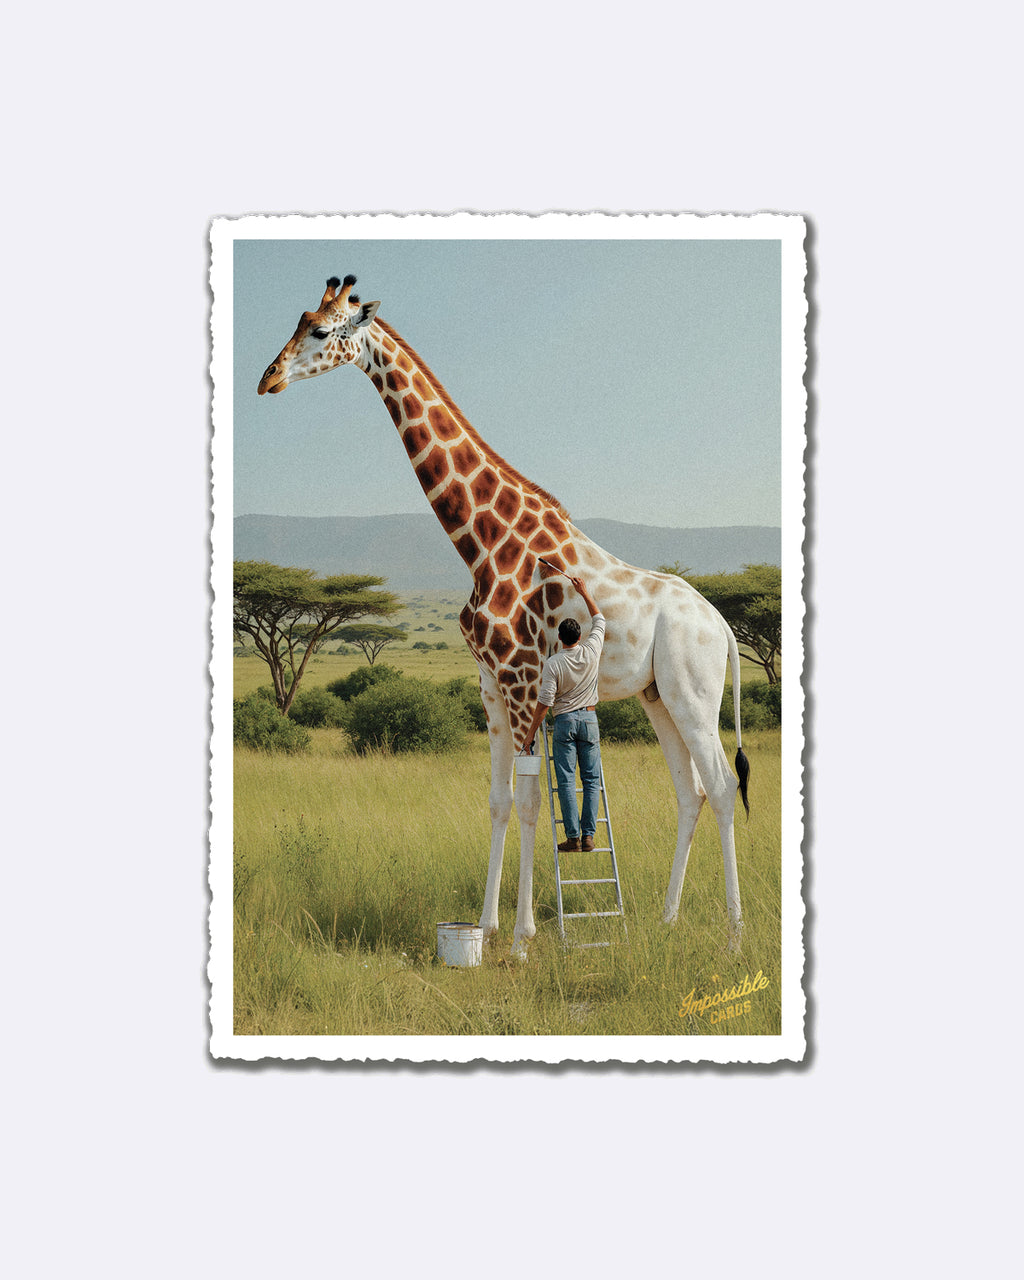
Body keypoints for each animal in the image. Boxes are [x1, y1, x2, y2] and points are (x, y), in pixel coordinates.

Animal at [257, 275, 750, 953]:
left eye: (323, 331)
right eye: (300, 320)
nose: (268, 378)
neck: (479, 543)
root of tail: (723, 626)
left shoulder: (520, 682)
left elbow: (531, 803)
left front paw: (521, 937)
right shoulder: (490, 684)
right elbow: (496, 800)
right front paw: (486, 927)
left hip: (696, 691)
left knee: (723, 787)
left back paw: (732, 935)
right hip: (660, 695)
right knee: (690, 791)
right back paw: (667, 920)